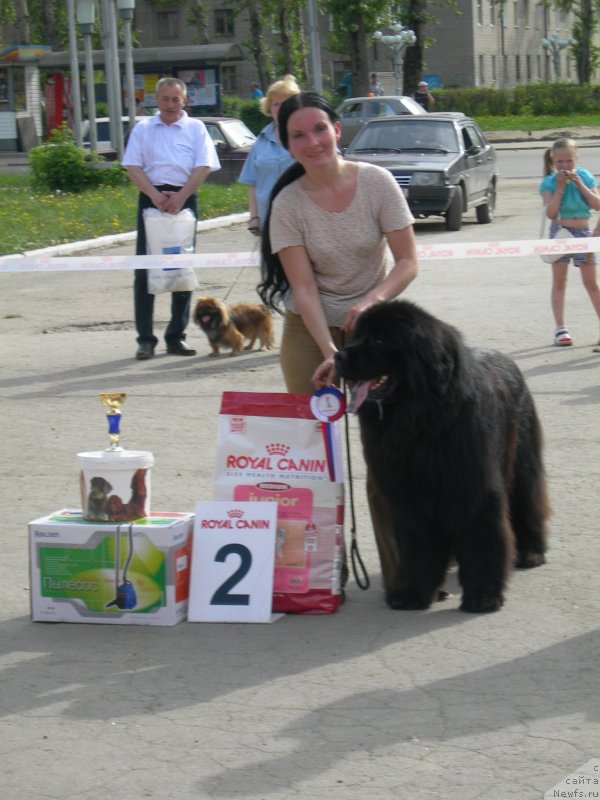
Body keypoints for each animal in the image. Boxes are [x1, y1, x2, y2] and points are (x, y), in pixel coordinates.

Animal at [336, 300, 552, 612]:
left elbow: (482, 539)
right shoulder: (408, 497)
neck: (422, 419)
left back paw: (532, 553)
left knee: (527, 501)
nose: (338, 355)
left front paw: (483, 596)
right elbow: (417, 546)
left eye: (378, 340)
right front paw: (414, 593)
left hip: (521, 462)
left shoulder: (474, 489)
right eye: (356, 336)